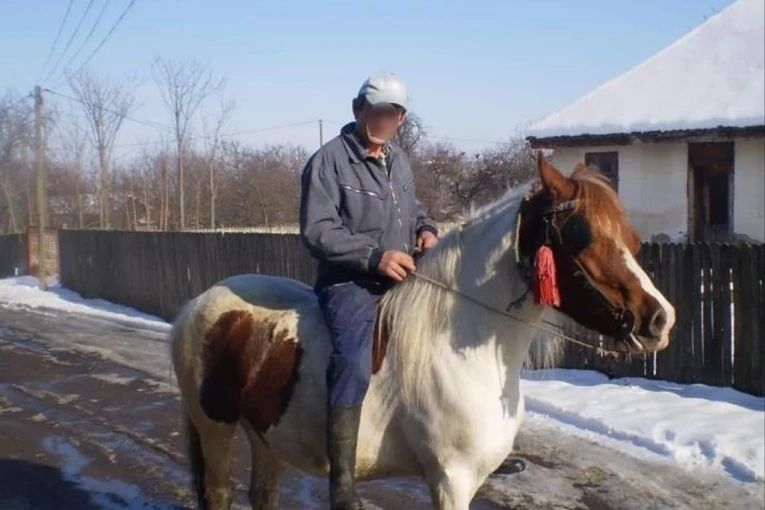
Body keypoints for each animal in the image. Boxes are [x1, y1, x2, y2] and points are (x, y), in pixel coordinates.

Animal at [169, 153, 676, 508]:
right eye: (580, 236)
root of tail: (196, 304)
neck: (458, 353)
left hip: (265, 436)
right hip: (215, 431)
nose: (660, 319)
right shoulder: (452, 481)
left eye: (628, 237)